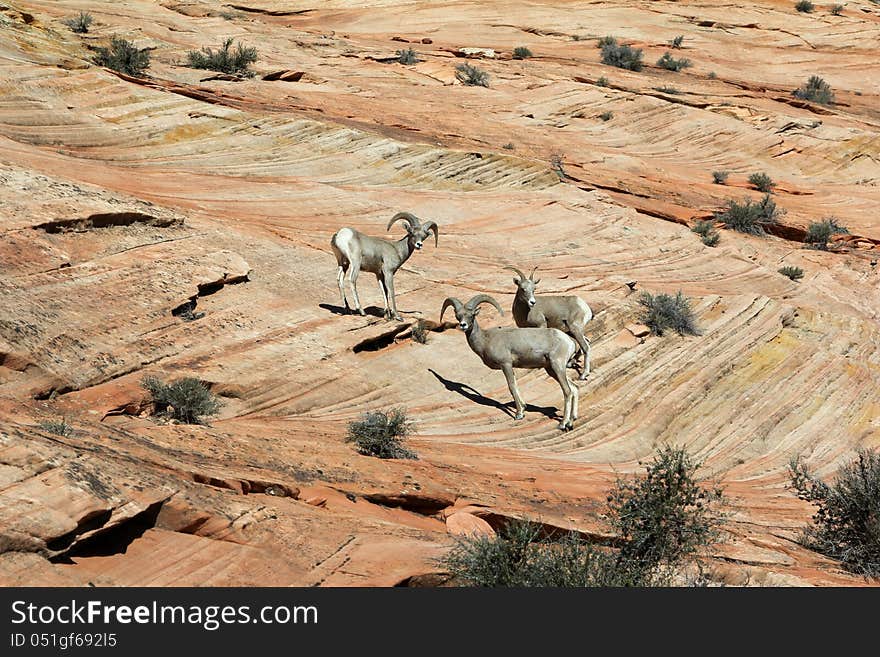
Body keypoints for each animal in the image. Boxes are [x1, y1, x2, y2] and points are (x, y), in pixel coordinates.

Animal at [438, 294, 576, 430]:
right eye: (458, 316)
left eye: (471, 315)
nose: (463, 325)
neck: (485, 340)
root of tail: (569, 341)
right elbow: (515, 384)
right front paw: (523, 408)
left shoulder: (506, 364)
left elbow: (511, 386)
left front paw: (519, 414)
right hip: (551, 369)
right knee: (574, 387)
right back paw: (571, 421)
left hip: (557, 366)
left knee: (567, 391)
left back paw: (563, 424)